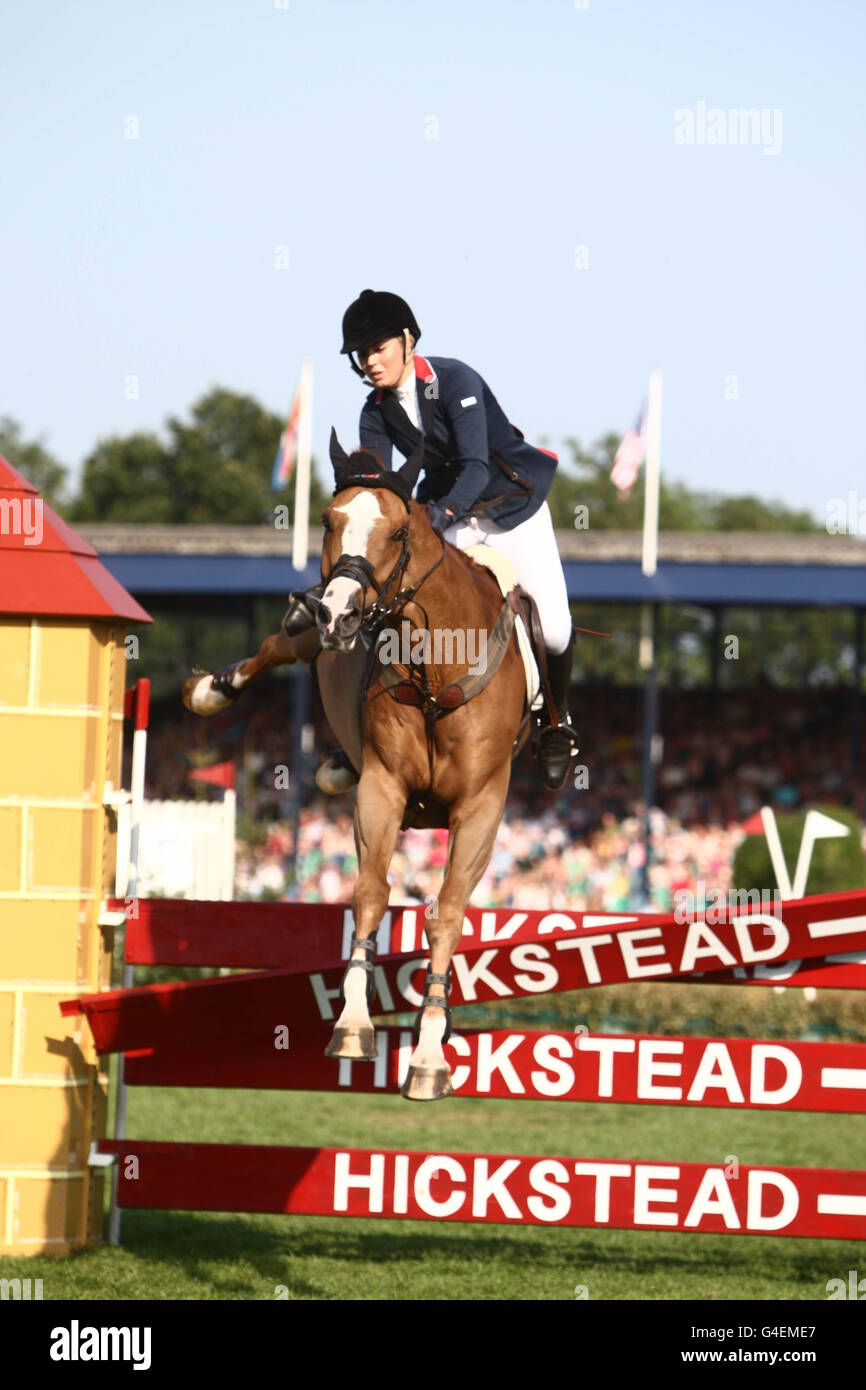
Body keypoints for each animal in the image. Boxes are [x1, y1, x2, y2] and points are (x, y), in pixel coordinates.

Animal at [184, 428, 528, 1100]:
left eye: (398, 533)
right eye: (327, 520)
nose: (340, 613)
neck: (433, 667)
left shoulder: (481, 809)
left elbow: (447, 914)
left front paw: (429, 1051)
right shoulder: (382, 790)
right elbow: (369, 894)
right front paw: (352, 1023)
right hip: (308, 644)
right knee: (282, 644)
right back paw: (214, 690)